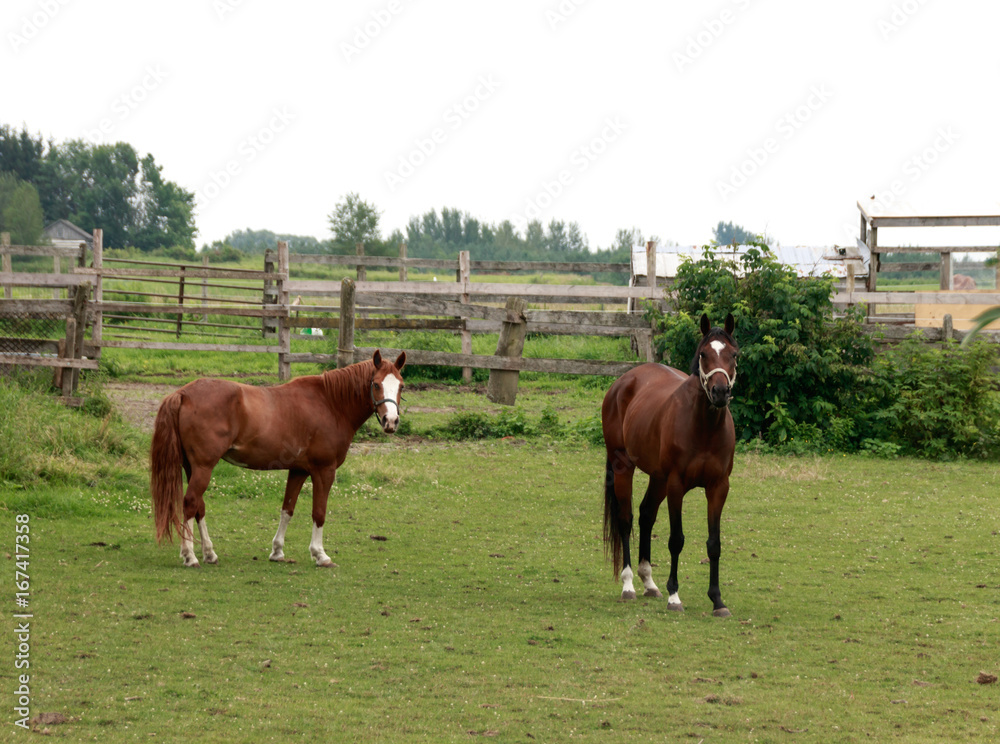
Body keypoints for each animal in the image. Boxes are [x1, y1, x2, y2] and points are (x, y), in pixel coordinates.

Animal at [150, 349, 406, 568]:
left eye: (401, 386)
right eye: (376, 384)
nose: (391, 421)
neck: (330, 403)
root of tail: (182, 394)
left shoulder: (299, 470)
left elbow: (287, 509)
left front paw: (277, 551)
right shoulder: (324, 470)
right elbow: (319, 512)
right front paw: (320, 555)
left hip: (193, 467)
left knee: (199, 507)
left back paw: (209, 553)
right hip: (203, 467)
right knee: (191, 503)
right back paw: (190, 556)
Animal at [601, 313, 738, 617]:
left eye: (734, 354)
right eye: (704, 354)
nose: (719, 392)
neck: (704, 427)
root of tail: (623, 381)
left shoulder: (718, 488)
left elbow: (714, 543)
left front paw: (718, 601)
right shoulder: (677, 485)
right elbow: (676, 540)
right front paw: (674, 596)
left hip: (658, 478)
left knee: (646, 515)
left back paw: (649, 582)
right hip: (624, 467)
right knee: (626, 518)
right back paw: (629, 585)